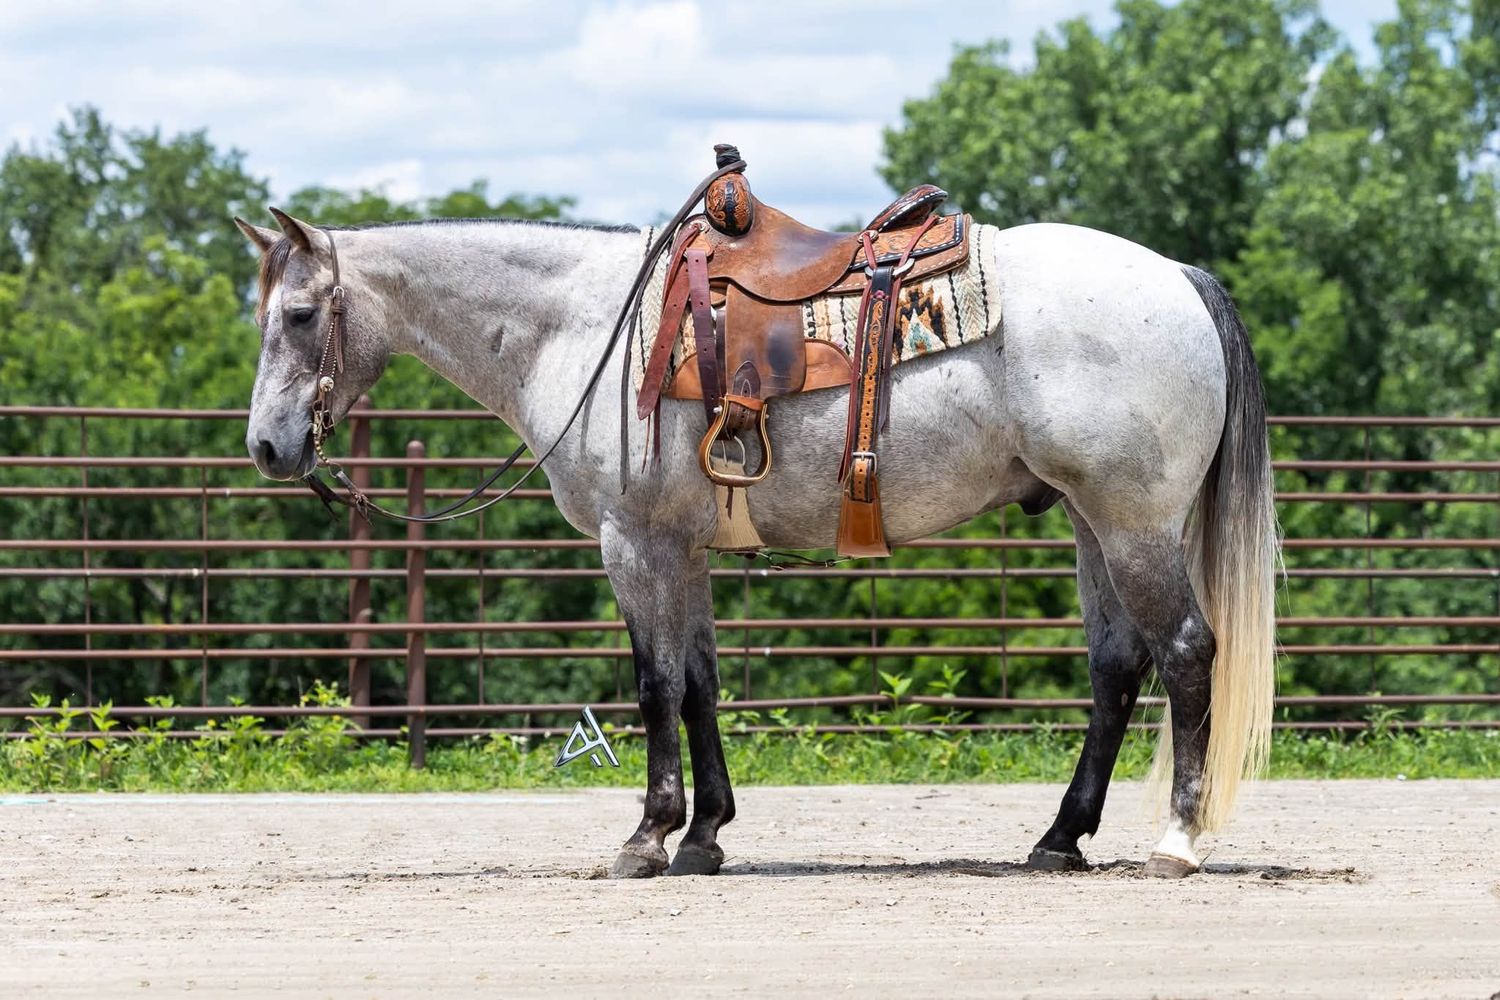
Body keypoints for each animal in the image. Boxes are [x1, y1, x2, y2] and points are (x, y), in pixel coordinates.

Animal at [233, 206, 1277, 879]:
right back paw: (1060, 840)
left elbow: (654, 684)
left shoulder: (634, 543)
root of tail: (1180, 278)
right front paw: (705, 837)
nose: (268, 447)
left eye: (299, 315)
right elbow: (699, 683)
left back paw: (1176, 843)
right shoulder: (683, 548)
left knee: (1187, 652)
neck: (582, 328)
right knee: (1117, 667)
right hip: (1090, 521)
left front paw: (647, 837)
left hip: (1133, 522)